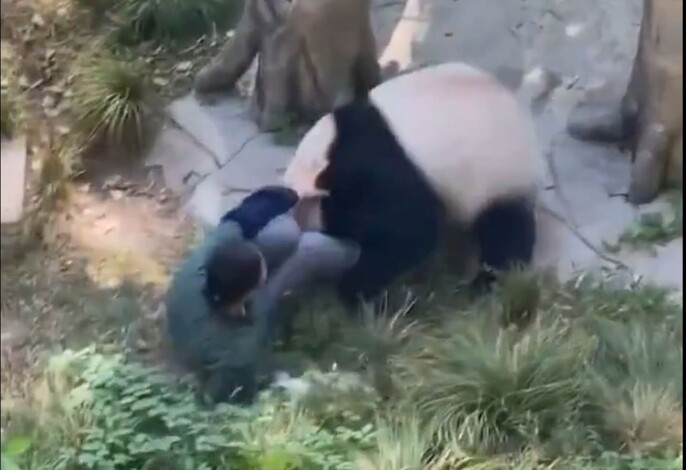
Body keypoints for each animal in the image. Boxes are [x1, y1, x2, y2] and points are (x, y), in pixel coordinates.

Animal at [282, 61, 544, 304]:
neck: (322, 153)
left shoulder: (370, 163)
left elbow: (411, 228)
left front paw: (356, 291)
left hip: (499, 173)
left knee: (505, 229)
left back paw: (489, 282)